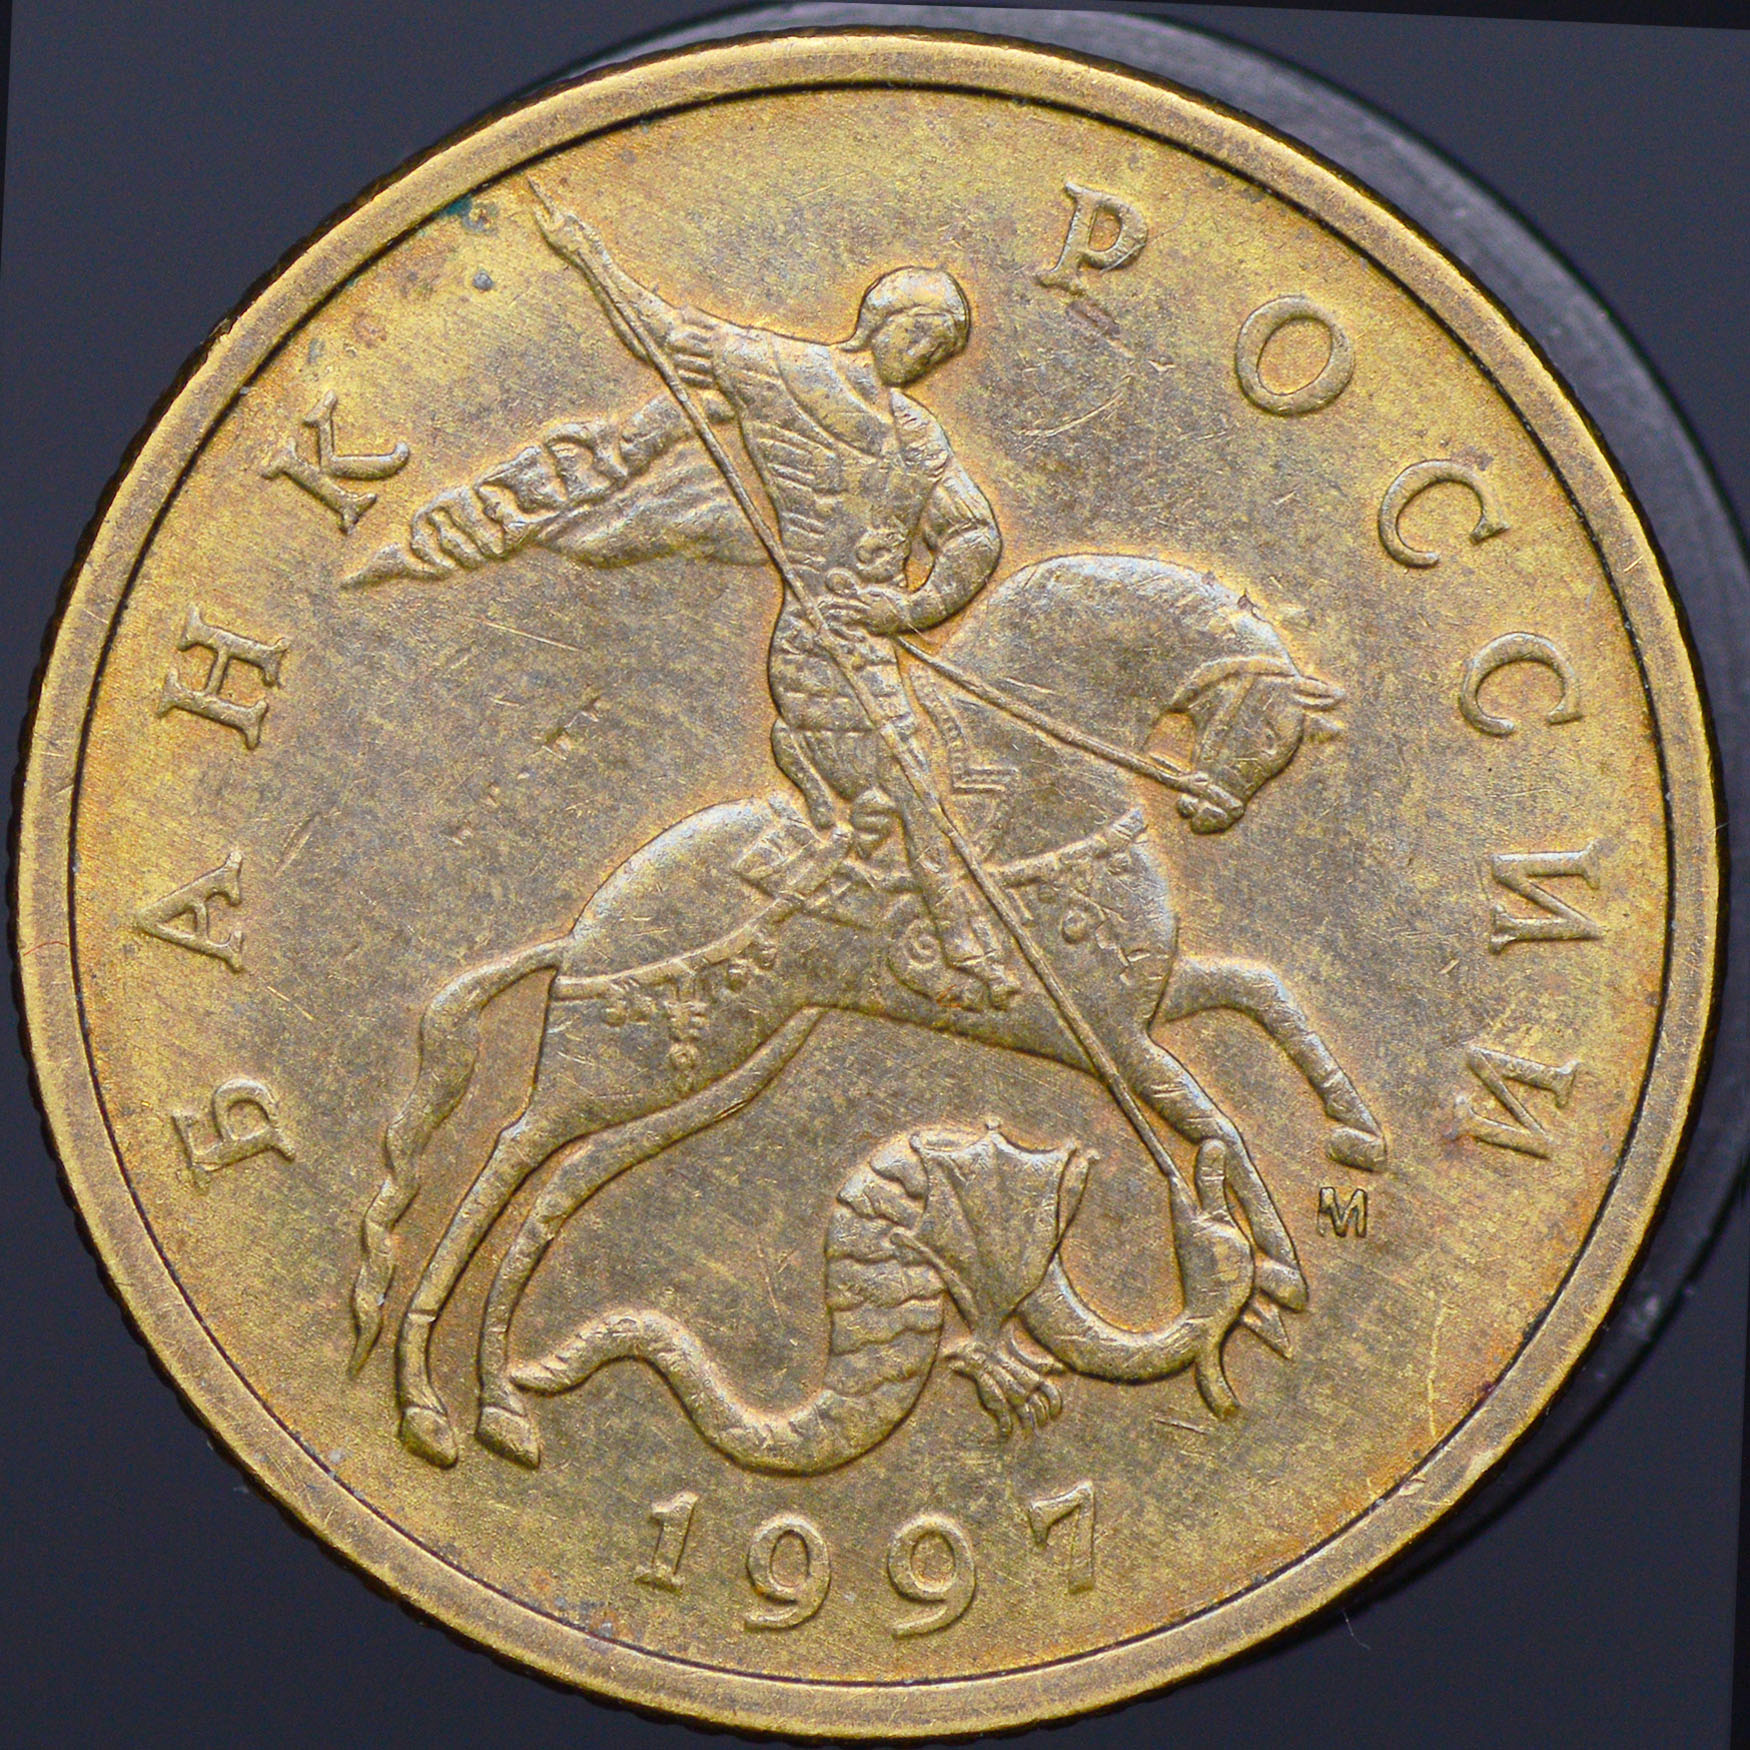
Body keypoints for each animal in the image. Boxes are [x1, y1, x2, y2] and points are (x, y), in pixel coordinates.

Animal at [348, 553, 1386, 1470]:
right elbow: (1219, 1120)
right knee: (501, 1164)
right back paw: (429, 1405)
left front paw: (1354, 1137)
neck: (1042, 781)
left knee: (557, 1193)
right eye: (1271, 731)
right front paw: (1276, 1264)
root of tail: (586, 930)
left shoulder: (1142, 1004)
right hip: (617, 1064)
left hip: (711, 1070)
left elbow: (1264, 995)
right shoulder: (1113, 1034)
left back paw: (498, 1406)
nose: (1215, 813)